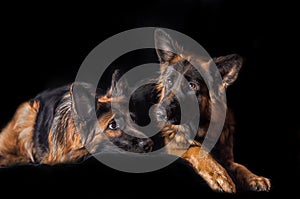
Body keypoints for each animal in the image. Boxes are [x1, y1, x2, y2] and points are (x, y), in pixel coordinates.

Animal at [134, 29, 272, 193]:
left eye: (192, 86)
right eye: (169, 81)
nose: (159, 114)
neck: (201, 128)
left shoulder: (227, 159)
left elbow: (239, 166)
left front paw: (254, 177)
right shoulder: (173, 148)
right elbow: (197, 150)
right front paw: (218, 174)